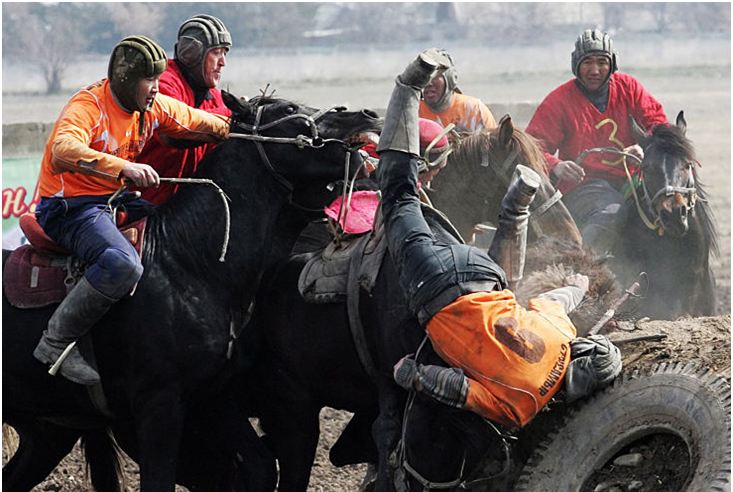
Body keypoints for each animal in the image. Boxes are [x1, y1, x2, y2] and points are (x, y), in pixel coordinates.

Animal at [4, 90, 384, 490]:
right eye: (290, 110)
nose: (367, 114)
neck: (190, 262)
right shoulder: (160, 405)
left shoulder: (211, 397)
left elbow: (260, 465)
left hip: (48, 431)